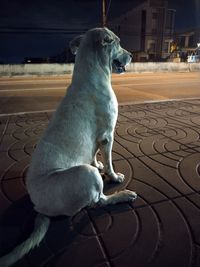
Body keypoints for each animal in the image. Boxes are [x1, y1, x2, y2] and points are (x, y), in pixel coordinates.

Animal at [0, 27, 137, 267]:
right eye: (118, 43)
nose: (132, 55)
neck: (92, 74)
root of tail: (39, 209)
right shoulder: (107, 136)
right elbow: (109, 162)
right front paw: (113, 176)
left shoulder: (95, 140)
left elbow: (93, 153)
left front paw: (99, 162)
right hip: (86, 175)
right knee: (99, 201)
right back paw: (122, 195)